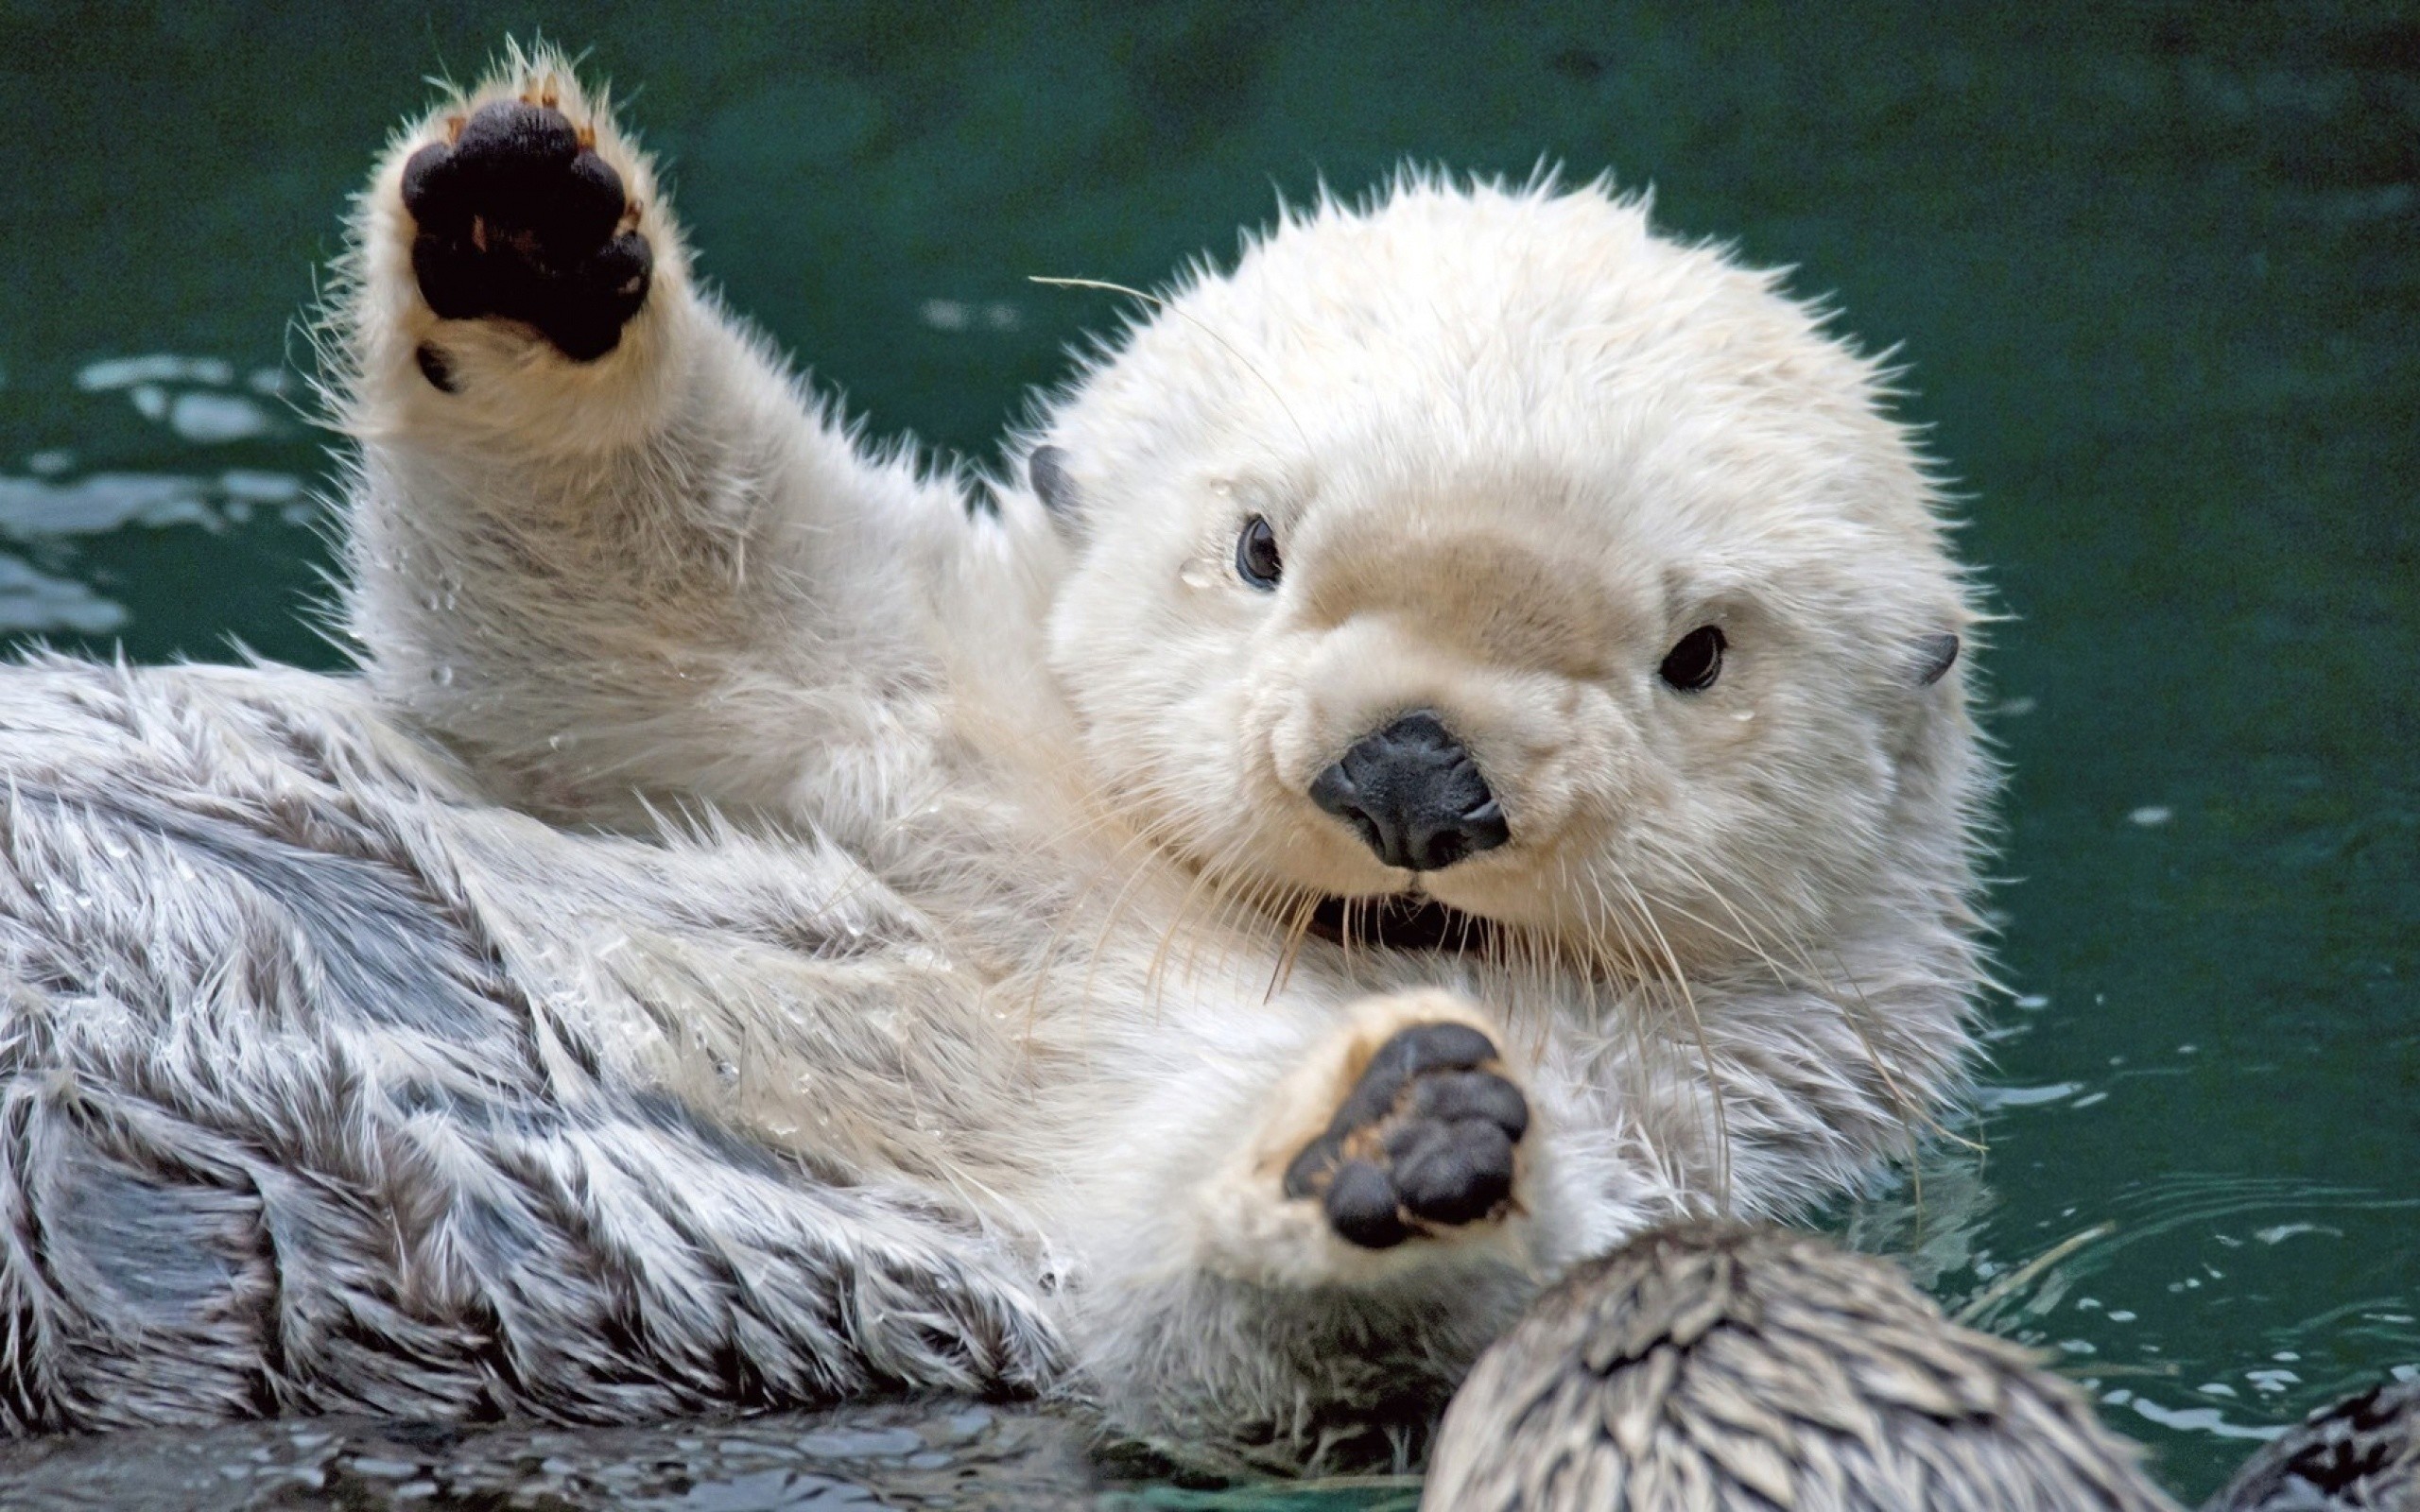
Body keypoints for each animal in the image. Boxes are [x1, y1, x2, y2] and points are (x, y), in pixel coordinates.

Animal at [0, 46, 1984, 1461]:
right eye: (1260, 550)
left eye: (1696, 658)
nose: (1413, 777)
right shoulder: (905, 710)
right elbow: (621, 606)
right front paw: (532, 234)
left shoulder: (1679, 1130)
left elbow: (1205, 1311)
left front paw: (1386, 1136)